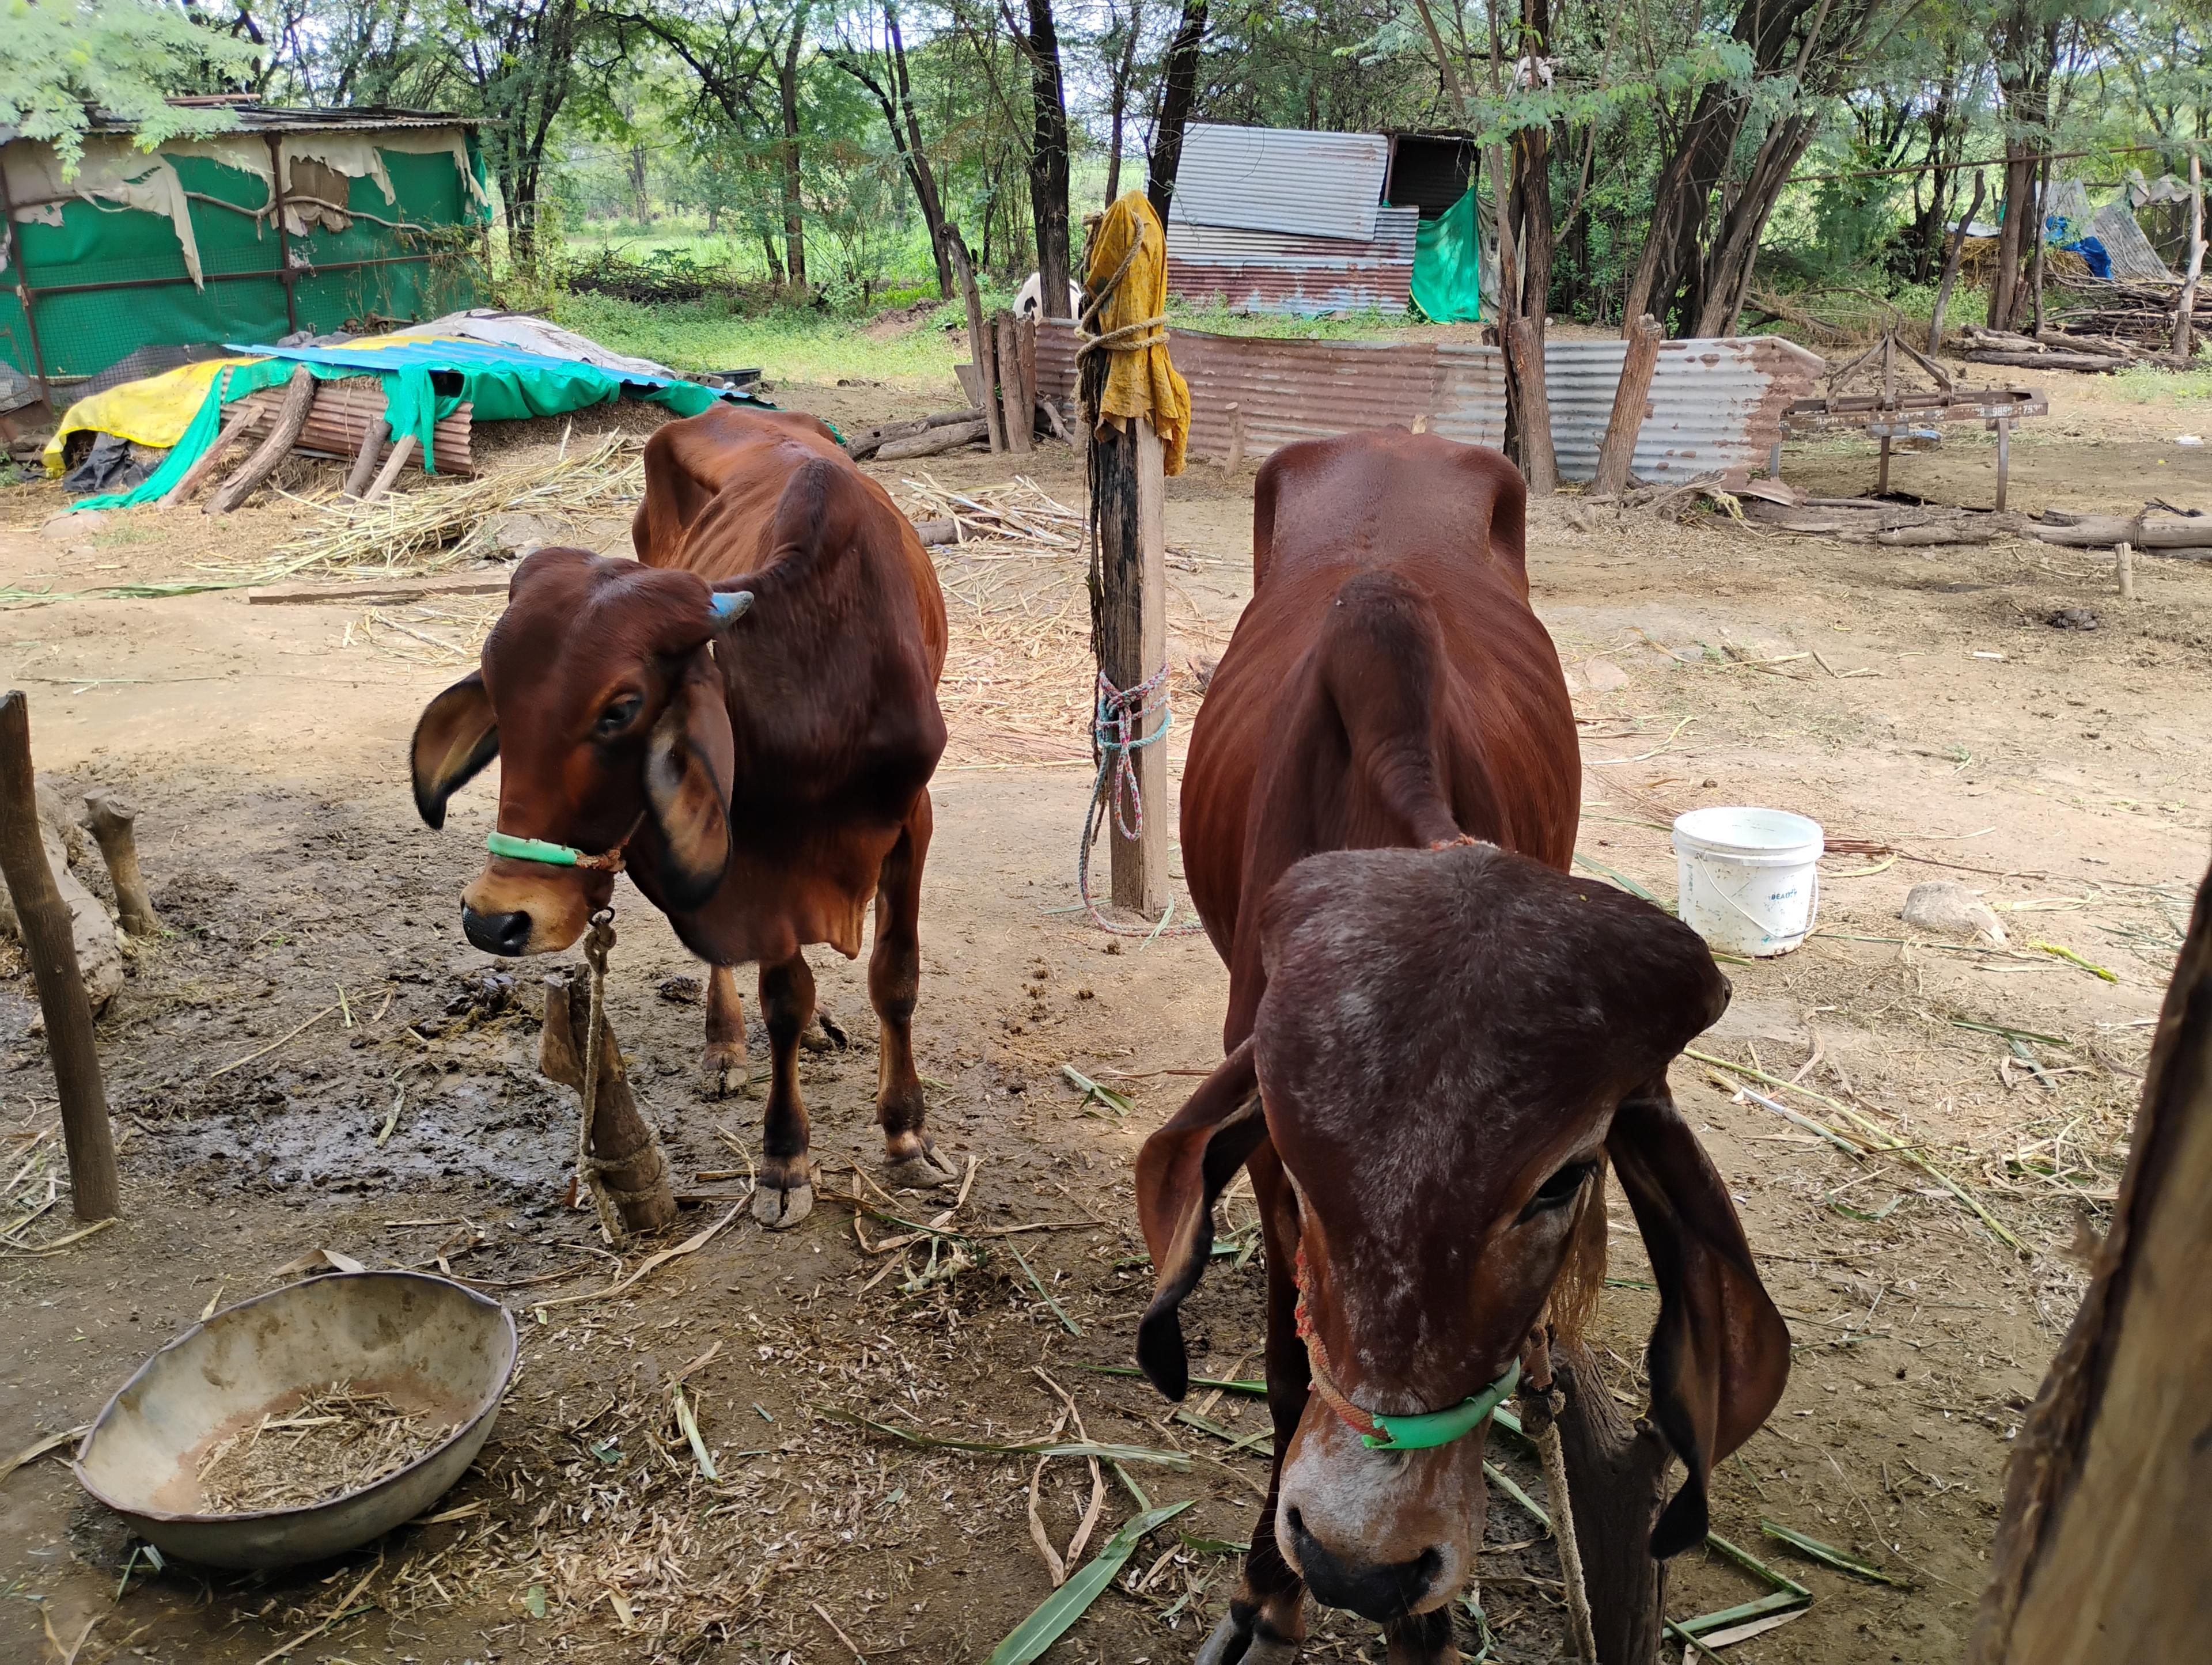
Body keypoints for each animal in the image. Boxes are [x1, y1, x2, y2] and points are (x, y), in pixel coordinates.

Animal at [411, 409, 946, 1229]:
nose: (494, 919)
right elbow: (784, 999)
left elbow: (896, 978)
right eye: (498, 699)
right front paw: (784, 1157)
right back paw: (724, 1046)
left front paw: (905, 1130)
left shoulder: (912, 818)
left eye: (621, 709)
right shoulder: (758, 862)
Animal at [1132, 431, 1787, 1663]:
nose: (1361, 1565)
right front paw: (1269, 1590)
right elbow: (1290, 1374)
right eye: (1300, 1158)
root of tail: (1402, 436)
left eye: (1565, 1180)